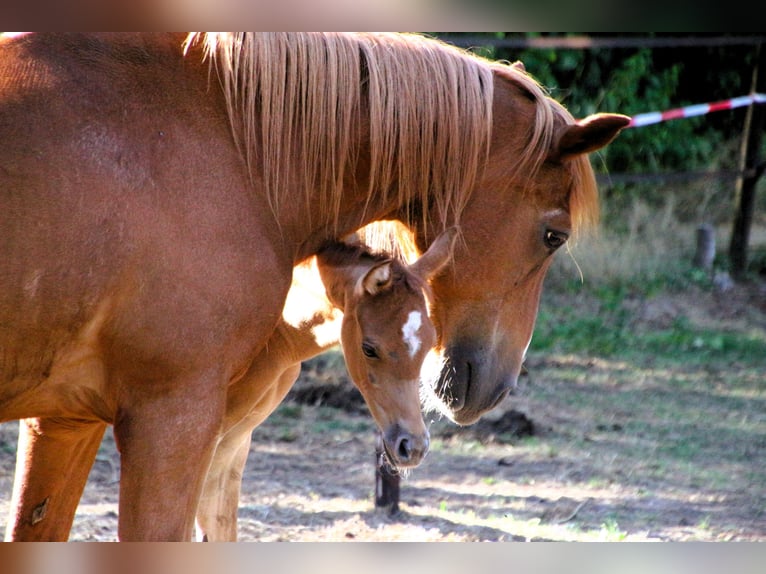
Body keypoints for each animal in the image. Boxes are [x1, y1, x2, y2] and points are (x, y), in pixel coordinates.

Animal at [5, 228, 456, 541]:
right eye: (369, 348)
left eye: (430, 341)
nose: (412, 446)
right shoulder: (203, 436)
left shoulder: (234, 441)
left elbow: (221, 524)